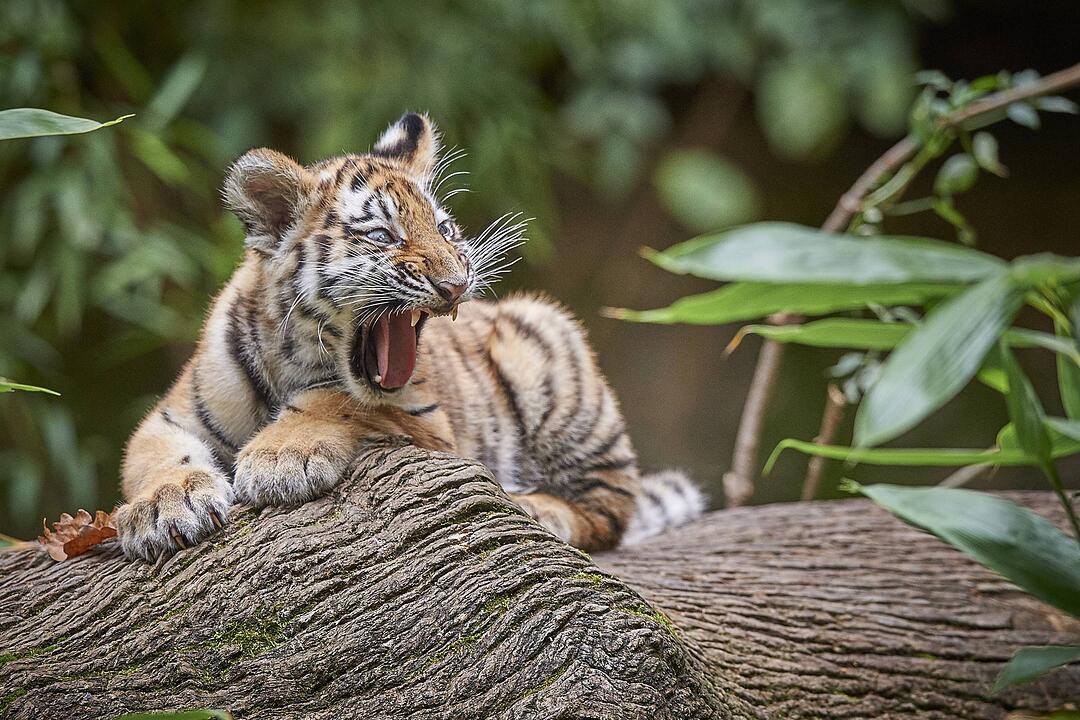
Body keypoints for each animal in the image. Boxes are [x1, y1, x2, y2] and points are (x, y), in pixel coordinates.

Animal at [114, 112, 703, 562]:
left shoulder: (427, 421)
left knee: (610, 514)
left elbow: (339, 402)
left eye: (443, 229)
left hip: (550, 356)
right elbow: (151, 457)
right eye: (382, 236)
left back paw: (536, 508)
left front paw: (280, 457)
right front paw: (162, 510)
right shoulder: (172, 415)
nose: (456, 282)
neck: (293, 355)